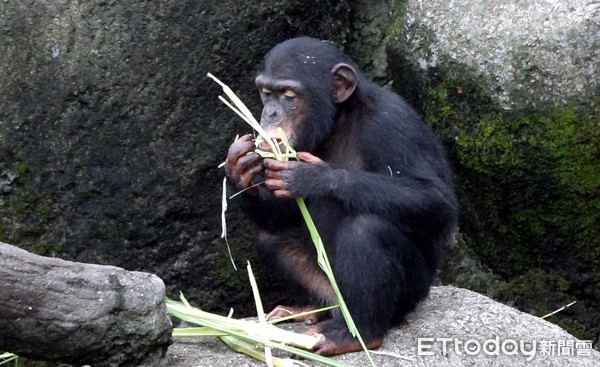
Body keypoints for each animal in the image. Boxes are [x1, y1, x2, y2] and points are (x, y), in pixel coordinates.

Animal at [225, 37, 460, 356]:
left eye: (288, 95)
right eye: (266, 92)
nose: (270, 113)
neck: (338, 120)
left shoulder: (393, 124)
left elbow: (435, 198)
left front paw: (312, 178)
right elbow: (281, 216)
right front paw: (239, 167)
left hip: (413, 293)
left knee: (366, 230)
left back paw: (354, 333)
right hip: (329, 286)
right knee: (271, 237)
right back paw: (313, 308)